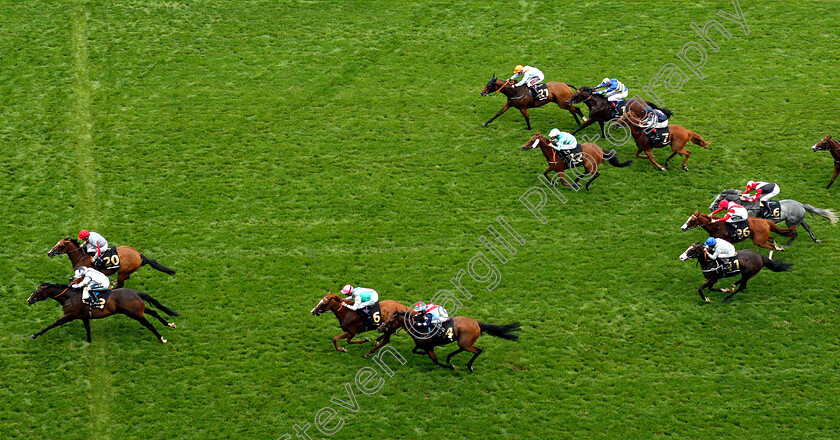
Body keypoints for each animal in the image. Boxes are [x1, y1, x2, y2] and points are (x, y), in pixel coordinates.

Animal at [26, 282, 177, 344]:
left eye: (37, 292)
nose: (29, 300)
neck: (70, 297)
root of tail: (136, 292)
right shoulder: (83, 316)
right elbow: (87, 328)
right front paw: (89, 341)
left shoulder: (69, 316)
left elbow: (52, 324)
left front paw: (34, 335)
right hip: (140, 310)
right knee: (154, 312)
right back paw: (170, 324)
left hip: (135, 314)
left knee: (150, 324)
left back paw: (162, 339)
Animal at [47, 237, 176, 288]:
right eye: (57, 243)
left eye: (61, 245)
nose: (49, 253)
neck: (81, 257)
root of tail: (138, 254)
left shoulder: (83, 275)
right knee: (126, 278)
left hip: (122, 272)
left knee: (120, 284)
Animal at [378, 310, 520, 372]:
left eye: (390, 321)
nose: (380, 328)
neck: (419, 327)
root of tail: (477, 323)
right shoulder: (420, 345)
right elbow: (414, 350)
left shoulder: (430, 348)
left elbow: (435, 361)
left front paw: (450, 366)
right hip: (464, 342)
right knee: (463, 348)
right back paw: (449, 357)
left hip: (465, 343)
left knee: (478, 350)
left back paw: (468, 366)